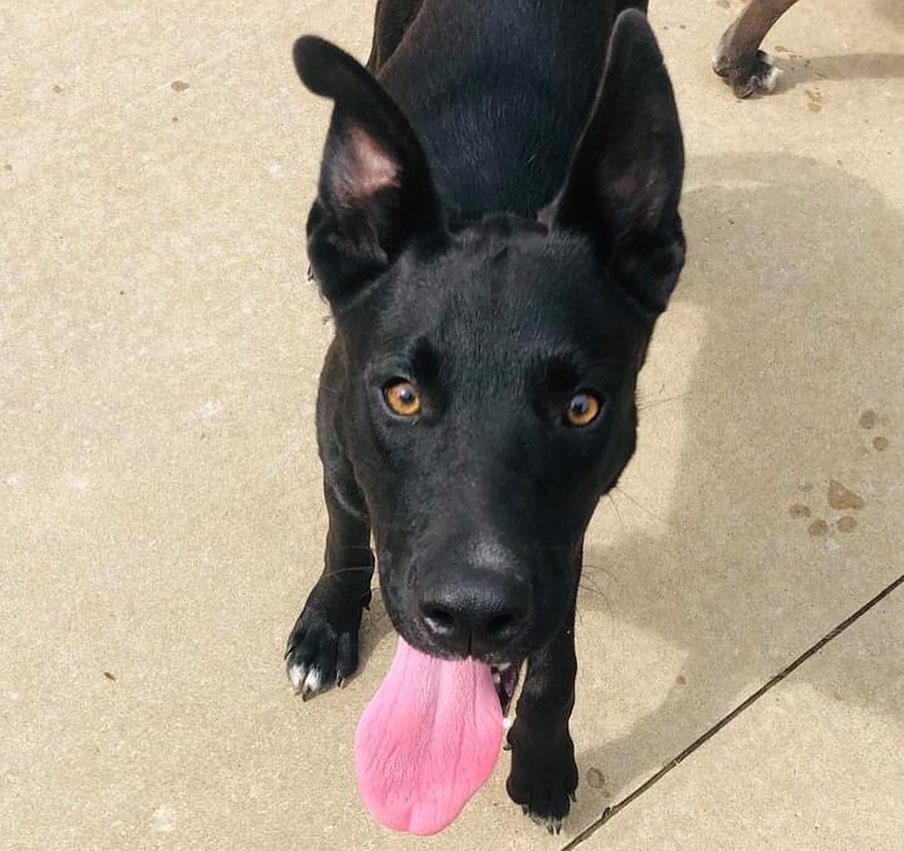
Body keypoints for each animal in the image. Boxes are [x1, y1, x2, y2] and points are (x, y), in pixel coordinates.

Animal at [286, 0, 680, 828]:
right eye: (402, 394)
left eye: (581, 407)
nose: (470, 614)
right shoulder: (337, 448)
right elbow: (346, 532)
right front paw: (328, 624)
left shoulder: (561, 549)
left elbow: (556, 657)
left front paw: (542, 759)